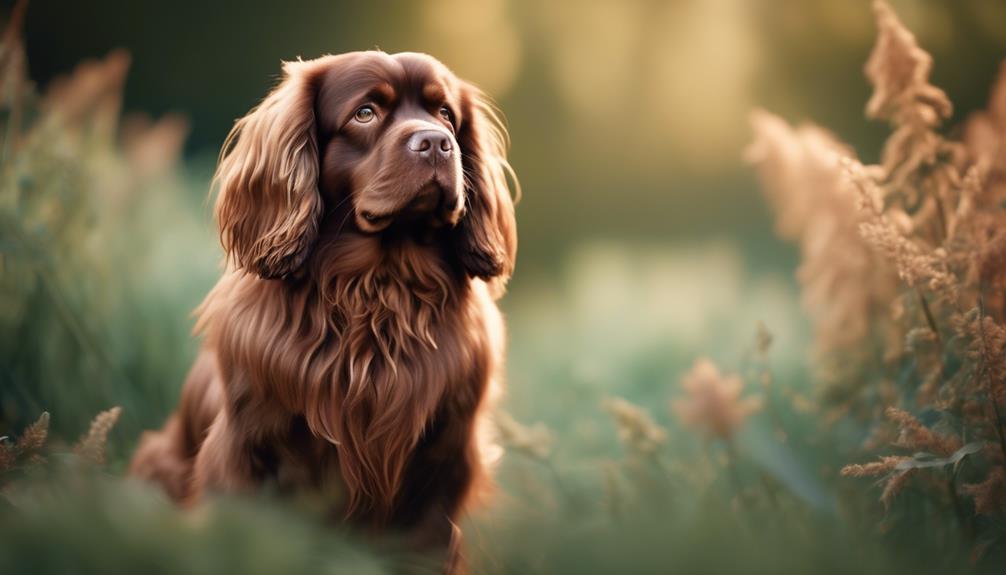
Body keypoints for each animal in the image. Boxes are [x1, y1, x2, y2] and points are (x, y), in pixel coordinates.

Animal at [127, 52, 519, 570]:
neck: (378, 292)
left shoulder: (443, 462)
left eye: (445, 114)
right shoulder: (245, 453)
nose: (436, 143)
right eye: (365, 113)